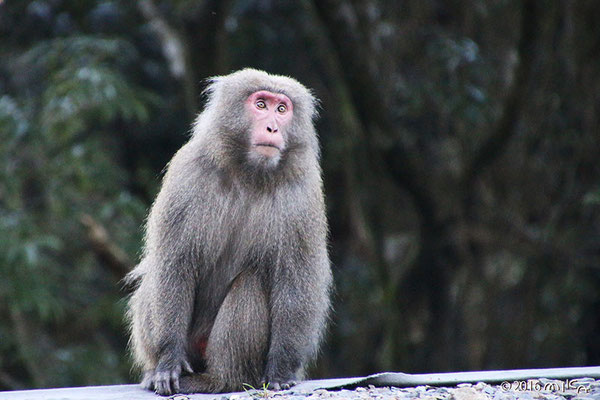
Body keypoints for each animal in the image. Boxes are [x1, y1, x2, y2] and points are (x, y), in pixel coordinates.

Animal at [126, 68, 332, 394]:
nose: (273, 127)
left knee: (250, 283)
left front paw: (281, 368)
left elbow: (297, 278)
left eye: (281, 109)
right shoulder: (189, 171)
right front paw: (168, 359)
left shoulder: (302, 192)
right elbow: (175, 261)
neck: (249, 173)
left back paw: (223, 378)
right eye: (260, 104)